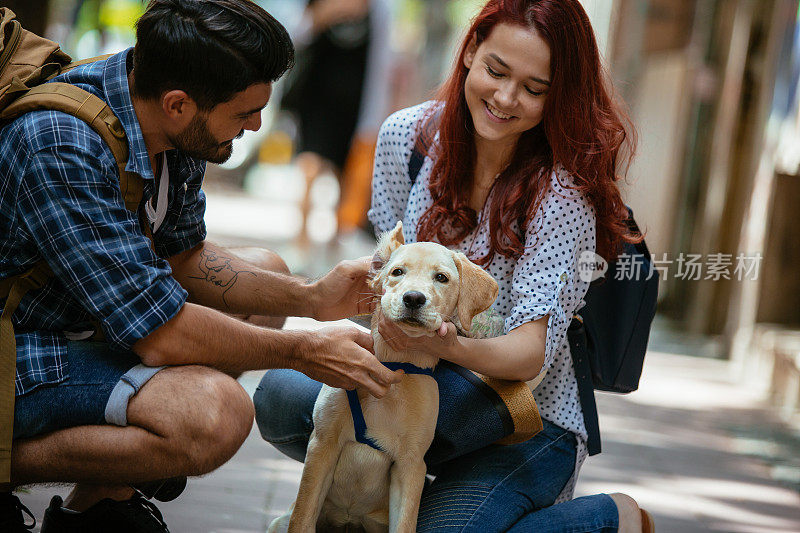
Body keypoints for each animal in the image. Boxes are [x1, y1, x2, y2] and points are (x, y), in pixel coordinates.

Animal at [268, 221, 494, 532]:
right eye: (397, 272)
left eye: (441, 278)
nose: (413, 298)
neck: (395, 365)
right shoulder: (322, 444)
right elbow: (303, 518)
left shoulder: (412, 465)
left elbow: (405, 524)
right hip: (280, 521)